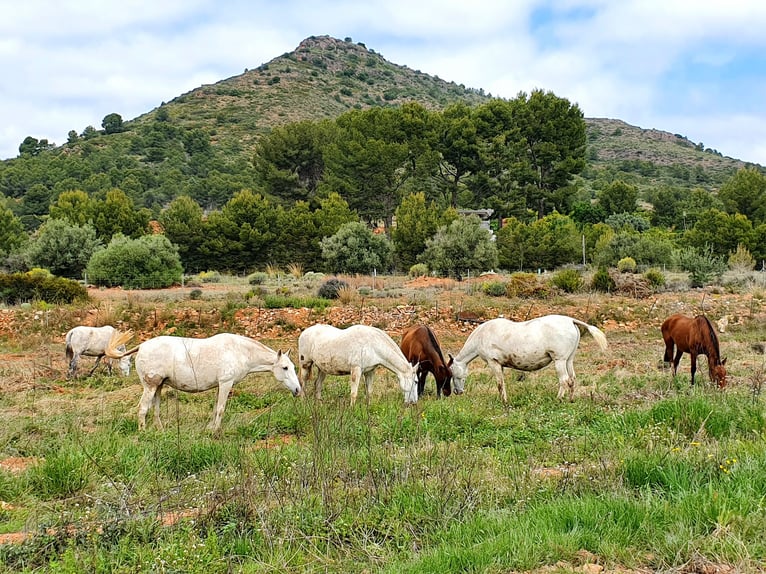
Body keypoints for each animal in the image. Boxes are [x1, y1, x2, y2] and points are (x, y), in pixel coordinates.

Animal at [106, 332, 304, 432]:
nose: (297, 389)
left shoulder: (220, 386)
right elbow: (221, 408)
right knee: (142, 409)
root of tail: (142, 346)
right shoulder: (226, 383)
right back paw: (143, 433)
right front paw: (215, 430)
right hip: (150, 386)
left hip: (159, 386)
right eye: (285, 368)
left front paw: (210, 427)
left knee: (156, 410)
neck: (239, 351)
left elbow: (216, 408)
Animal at [450, 316, 612, 404]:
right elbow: (502, 383)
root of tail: (571, 321)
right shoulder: (500, 365)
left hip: (559, 361)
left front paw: (504, 402)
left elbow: (500, 384)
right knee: (572, 379)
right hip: (568, 360)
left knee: (564, 380)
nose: (457, 392)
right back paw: (570, 400)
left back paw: (558, 399)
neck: (482, 335)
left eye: (452, 373)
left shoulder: (493, 362)